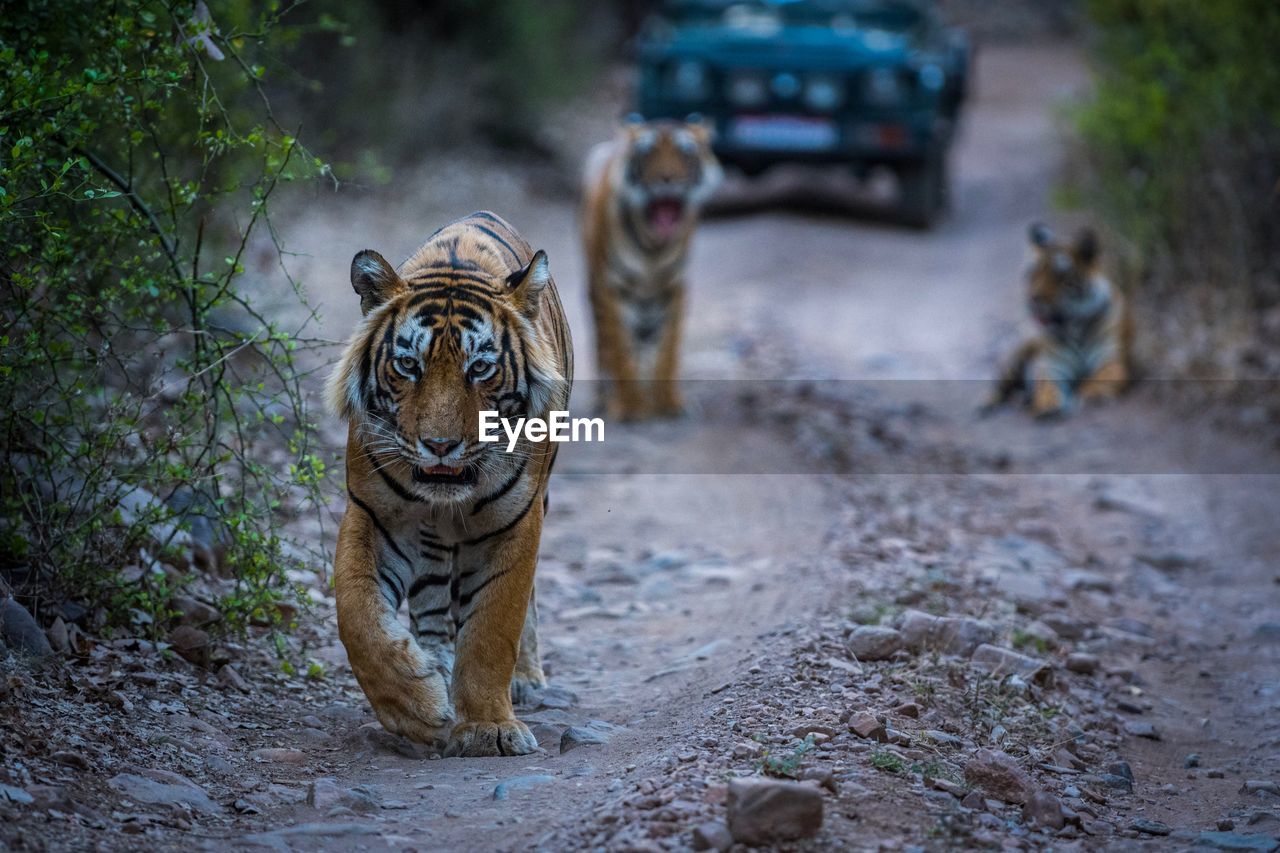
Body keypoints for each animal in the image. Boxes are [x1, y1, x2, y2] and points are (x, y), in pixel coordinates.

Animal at [327, 208, 573, 753]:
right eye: (407, 365)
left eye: (480, 368)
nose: (440, 445)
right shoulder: (375, 513)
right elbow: (357, 616)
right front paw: (416, 707)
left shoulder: (515, 522)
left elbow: (493, 628)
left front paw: (488, 728)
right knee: (433, 598)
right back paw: (435, 667)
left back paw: (523, 679)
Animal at [581, 114, 721, 420]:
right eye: (649, 154)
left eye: (685, 154)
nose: (668, 179)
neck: (653, 249)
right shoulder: (613, 287)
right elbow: (621, 349)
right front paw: (631, 406)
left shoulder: (674, 287)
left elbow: (667, 349)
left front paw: (668, 403)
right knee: (604, 346)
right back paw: (606, 397)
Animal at [988, 220, 1131, 417]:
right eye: (1033, 274)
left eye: (1059, 276)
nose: (1034, 299)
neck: (1075, 328)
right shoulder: (1051, 367)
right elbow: (1047, 386)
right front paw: (1047, 405)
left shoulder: (1111, 360)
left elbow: (1098, 379)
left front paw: (1089, 395)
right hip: (1015, 358)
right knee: (999, 387)